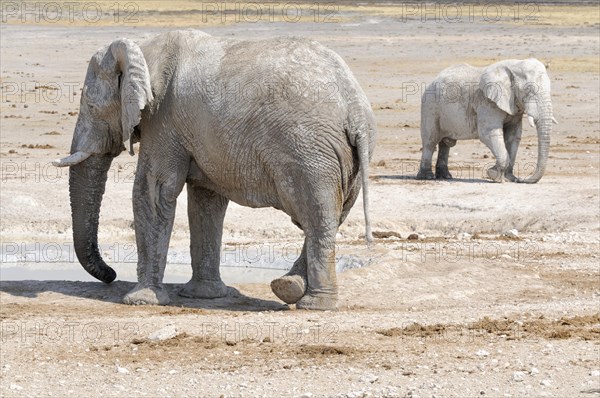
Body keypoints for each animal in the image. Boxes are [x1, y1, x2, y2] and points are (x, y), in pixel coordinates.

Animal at [54, 30, 378, 310]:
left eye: (91, 105)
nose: (110, 274)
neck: (144, 48)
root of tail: (355, 108)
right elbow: (205, 202)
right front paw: (203, 296)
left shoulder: (164, 120)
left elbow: (152, 190)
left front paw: (140, 300)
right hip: (346, 158)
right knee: (332, 216)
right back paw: (288, 287)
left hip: (309, 153)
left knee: (316, 216)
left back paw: (314, 304)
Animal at [414, 58, 556, 183]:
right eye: (529, 90)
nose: (522, 180)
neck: (514, 66)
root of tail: (433, 79)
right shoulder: (487, 102)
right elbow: (488, 133)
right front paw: (493, 175)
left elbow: (513, 136)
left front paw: (509, 179)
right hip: (430, 108)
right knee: (430, 142)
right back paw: (427, 177)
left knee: (445, 144)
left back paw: (446, 176)